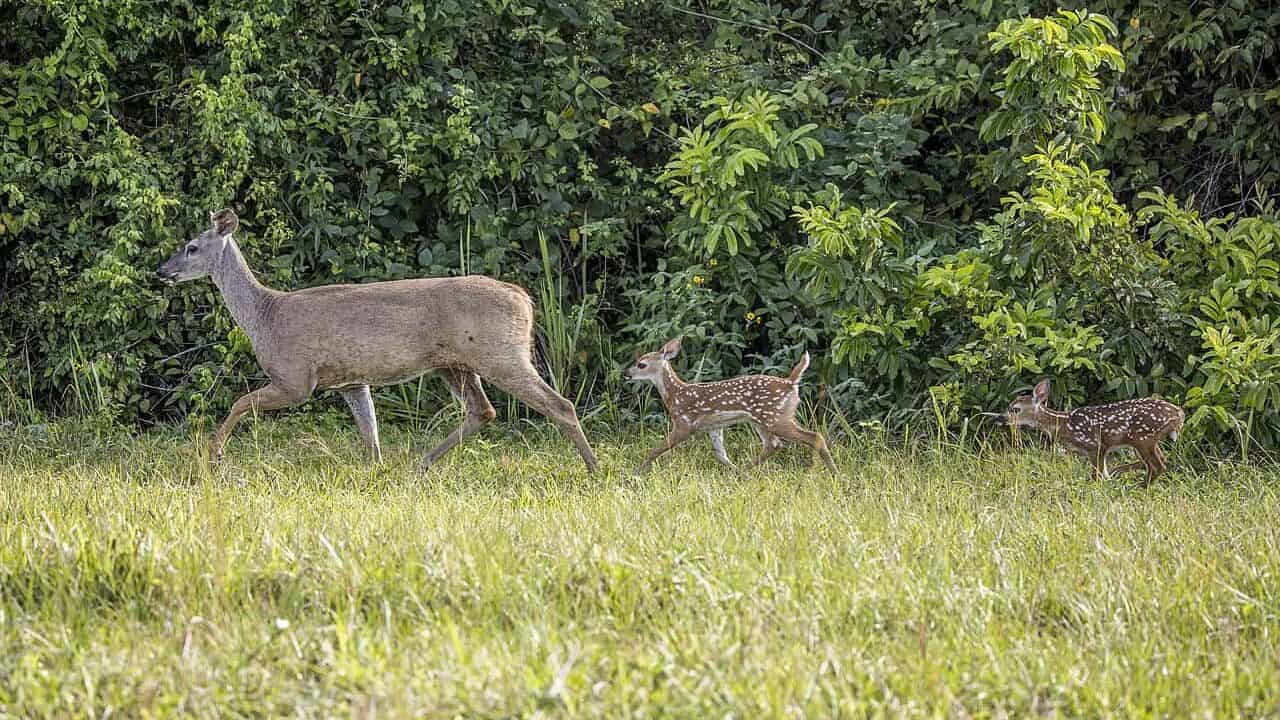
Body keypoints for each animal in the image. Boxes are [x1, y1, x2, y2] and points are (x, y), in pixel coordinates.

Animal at [156, 208, 598, 473]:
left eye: (191, 247)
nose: (163, 271)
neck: (265, 315)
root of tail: (523, 298)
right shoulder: (351, 380)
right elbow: (370, 434)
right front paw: (377, 471)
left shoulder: (296, 378)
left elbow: (240, 402)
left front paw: (212, 457)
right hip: (454, 363)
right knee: (482, 410)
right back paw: (420, 464)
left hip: (499, 353)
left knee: (559, 405)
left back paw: (594, 469)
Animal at [625, 337, 837, 474]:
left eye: (641, 364)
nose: (626, 374)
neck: (675, 395)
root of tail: (791, 382)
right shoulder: (713, 427)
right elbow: (721, 455)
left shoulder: (684, 424)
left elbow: (656, 450)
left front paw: (636, 472)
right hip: (761, 420)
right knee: (773, 444)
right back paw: (743, 473)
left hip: (776, 417)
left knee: (814, 437)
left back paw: (835, 475)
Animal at [991, 379, 1184, 485]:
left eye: (1015, 409)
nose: (999, 418)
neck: (1063, 424)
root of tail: (1179, 414)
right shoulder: (1100, 449)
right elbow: (1102, 473)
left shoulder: (1094, 445)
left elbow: (1096, 476)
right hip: (1149, 440)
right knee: (1160, 460)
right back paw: (1120, 473)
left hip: (1142, 437)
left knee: (1158, 465)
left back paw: (1136, 487)